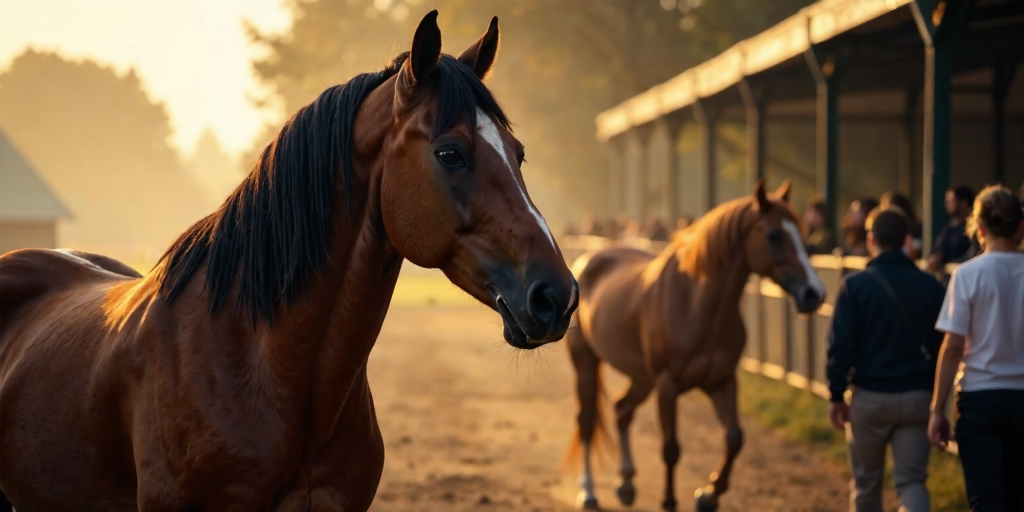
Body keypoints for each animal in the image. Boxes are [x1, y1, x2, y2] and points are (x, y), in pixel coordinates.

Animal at [569, 181, 823, 512]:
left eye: (802, 235)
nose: (814, 293)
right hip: (586, 360)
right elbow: (671, 447)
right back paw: (588, 492)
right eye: (773, 235)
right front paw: (669, 501)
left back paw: (626, 484)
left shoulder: (722, 381)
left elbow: (734, 438)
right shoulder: (668, 384)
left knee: (622, 409)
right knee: (587, 420)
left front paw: (708, 495)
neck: (697, 305)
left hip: (642, 377)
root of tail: (585, 262)